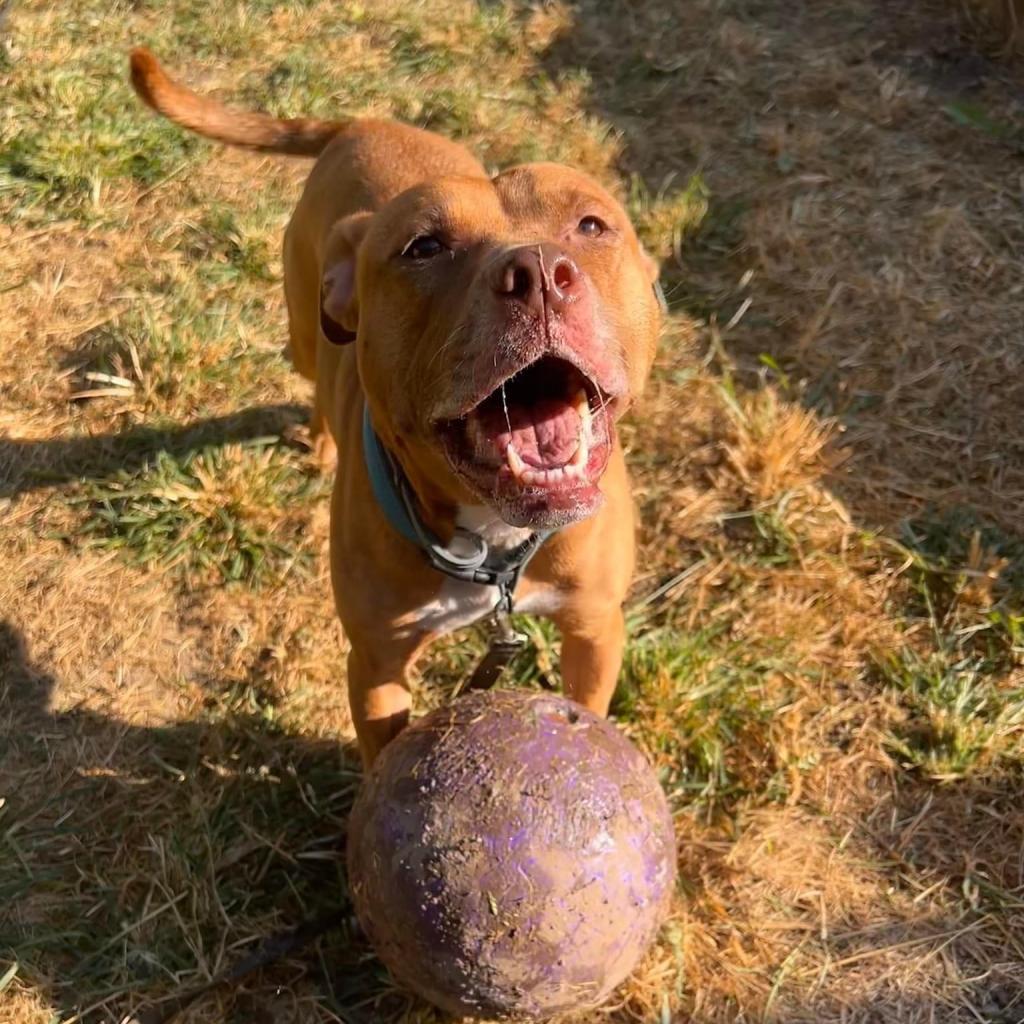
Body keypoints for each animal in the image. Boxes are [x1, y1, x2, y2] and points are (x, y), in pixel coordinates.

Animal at [132, 51, 659, 765]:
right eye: (424, 247)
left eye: (592, 225)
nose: (539, 271)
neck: (491, 543)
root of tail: (360, 122)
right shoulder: (376, 663)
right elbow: (382, 749)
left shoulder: (596, 628)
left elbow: (589, 701)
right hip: (305, 328)